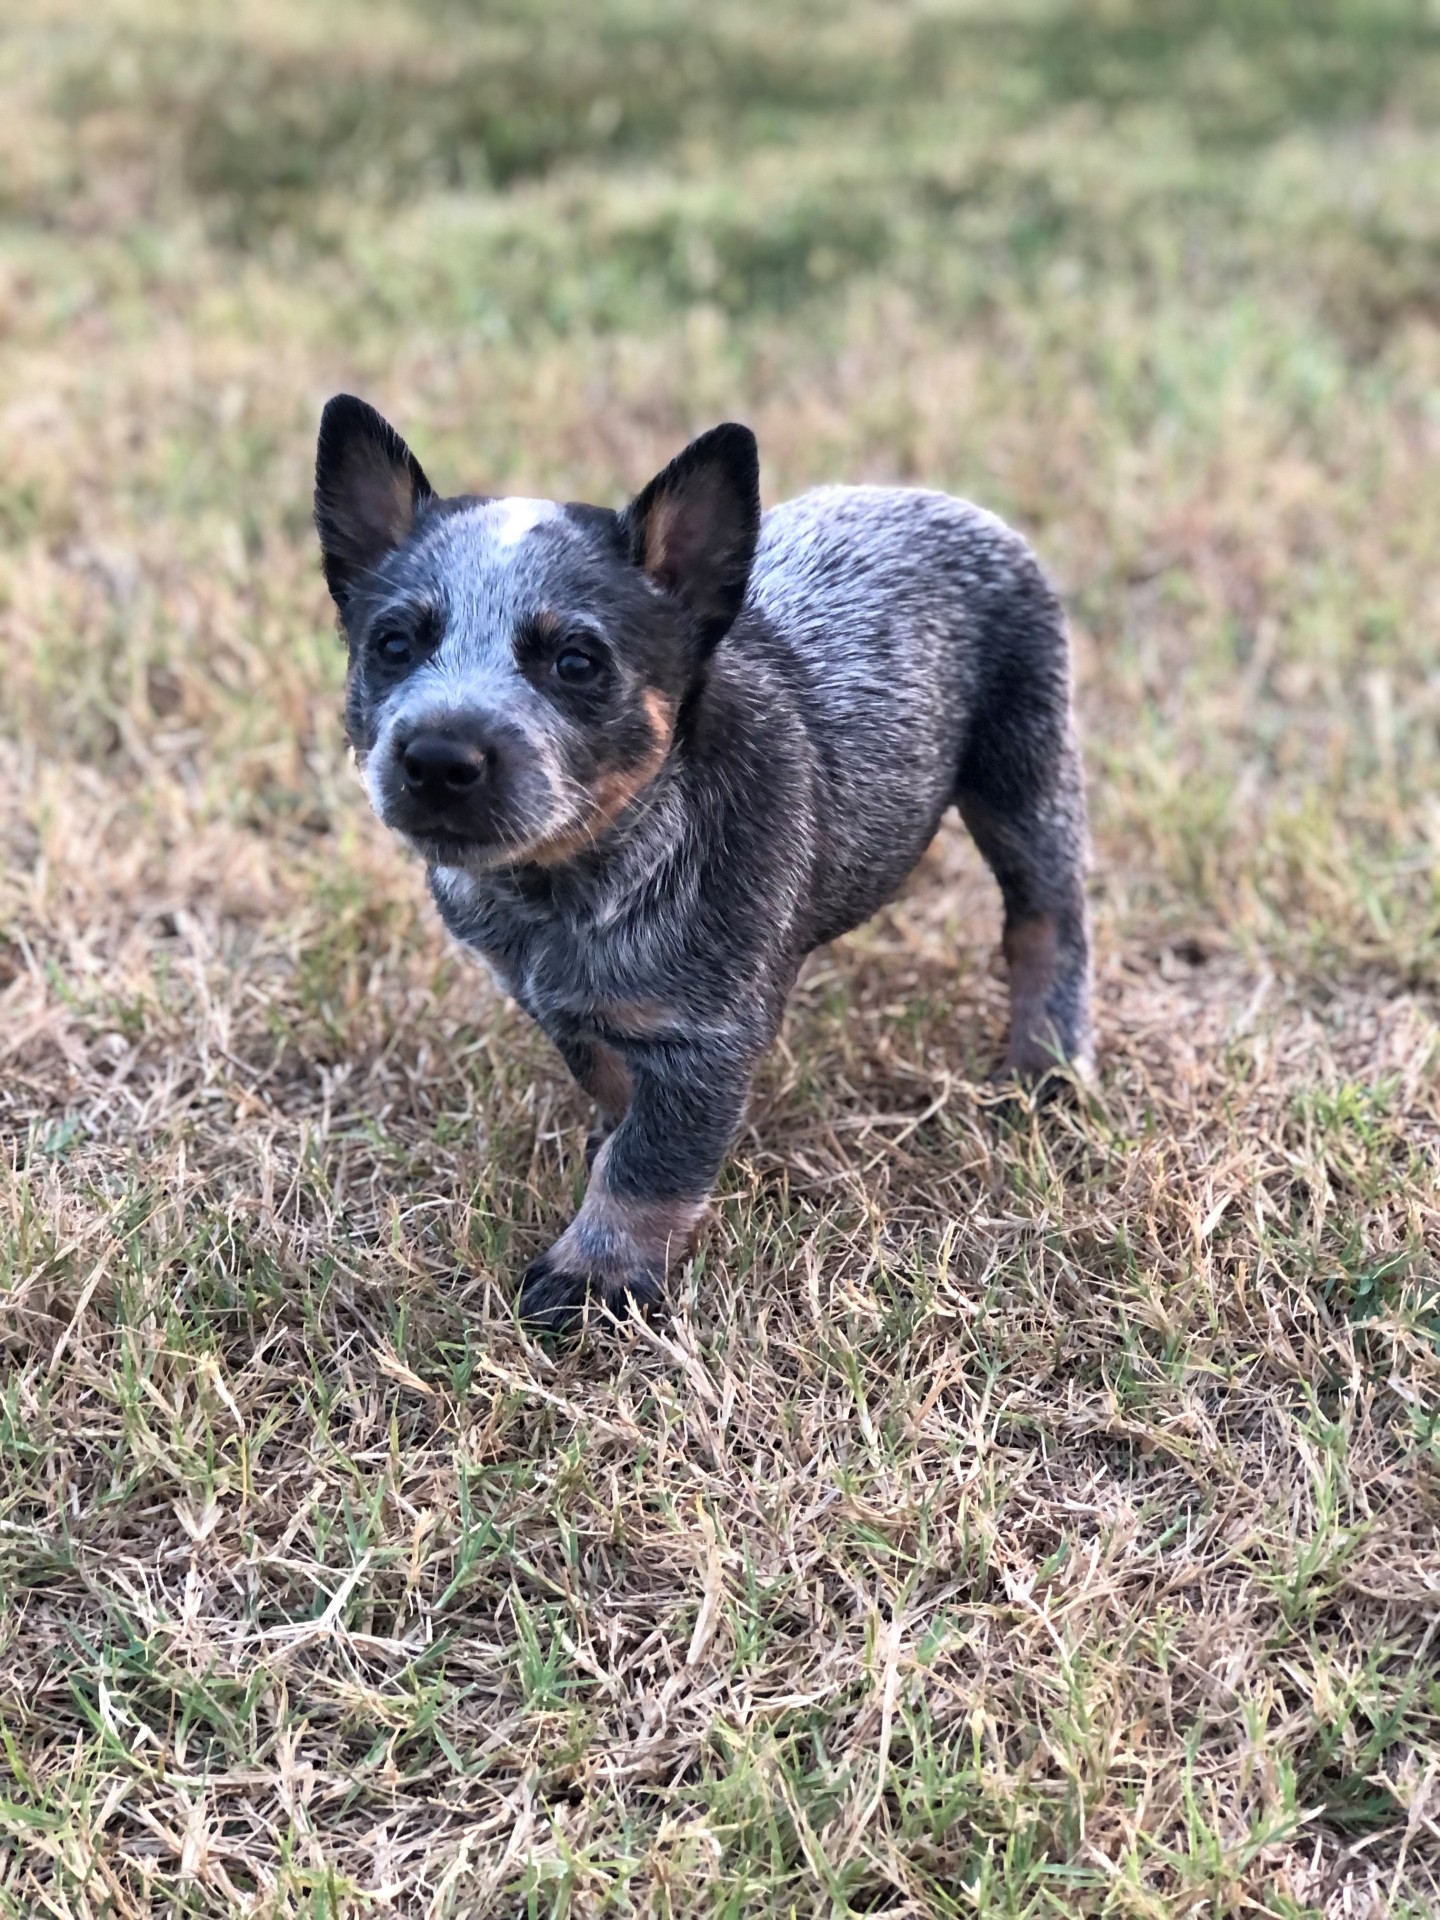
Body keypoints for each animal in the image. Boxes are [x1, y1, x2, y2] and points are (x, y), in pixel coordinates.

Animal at [311, 403, 1090, 1328]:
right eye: (394, 644)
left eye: (576, 662)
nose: (436, 758)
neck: (567, 885)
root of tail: (938, 499)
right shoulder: (565, 1006)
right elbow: (612, 1080)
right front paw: (606, 1138)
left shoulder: (705, 1035)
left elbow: (649, 1162)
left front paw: (598, 1273)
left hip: (1023, 776)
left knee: (1048, 920)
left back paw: (1044, 1065)